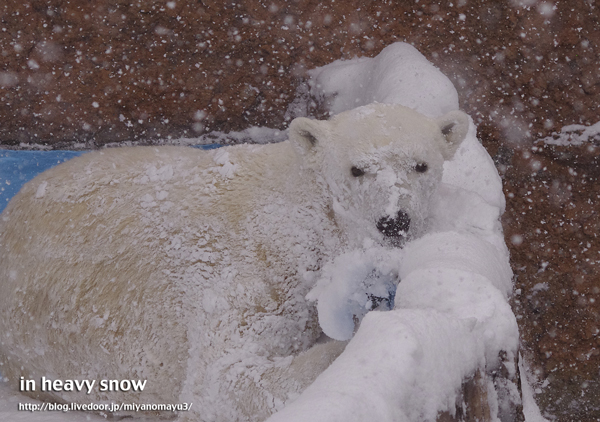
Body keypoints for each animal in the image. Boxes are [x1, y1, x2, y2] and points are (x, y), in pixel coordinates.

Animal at [0, 104, 468, 420]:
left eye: (421, 165)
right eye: (357, 170)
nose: (395, 221)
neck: (308, 213)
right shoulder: (252, 271)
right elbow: (220, 381)